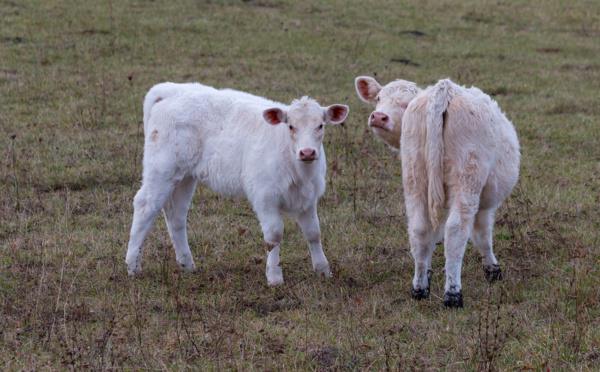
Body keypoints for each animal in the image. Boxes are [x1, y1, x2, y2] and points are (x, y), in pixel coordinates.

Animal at [129, 82, 350, 284]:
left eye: (320, 125)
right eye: (290, 126)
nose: (307, 152)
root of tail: (169, 90)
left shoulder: (309, 198)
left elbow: (313, 233)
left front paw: (323, 270)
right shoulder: (264, 196)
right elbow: (274, 236)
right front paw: (274, 276)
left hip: (185, 176)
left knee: (176, 214)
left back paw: (187, 264)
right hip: (161, 168)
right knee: (145, 205)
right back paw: (133, 266)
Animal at [356, 76, 520, 308]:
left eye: (404, 103)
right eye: (378, 98)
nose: (378, 117)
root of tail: (444, 89)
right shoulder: (484, 204)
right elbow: (483, 236)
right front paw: (492, 270)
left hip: (415, 178)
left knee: (419, 229)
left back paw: (419, 288)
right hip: (467, 180)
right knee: (455, 231)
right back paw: (453, 294)